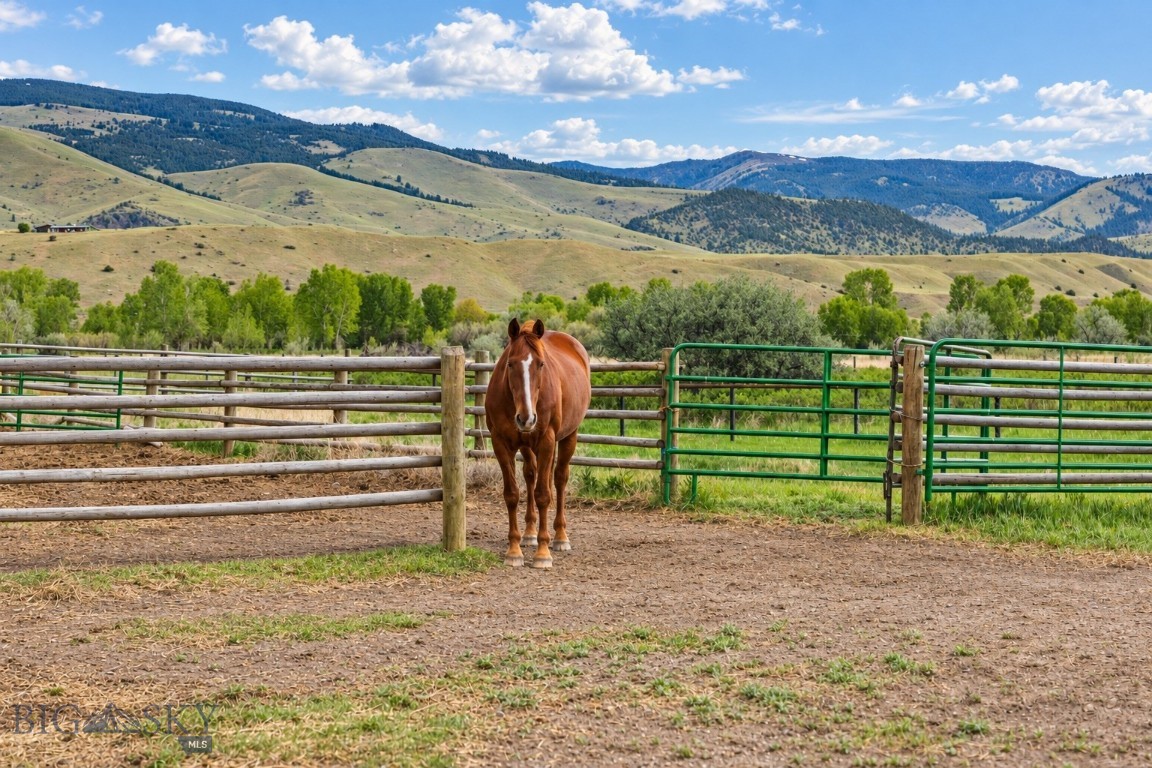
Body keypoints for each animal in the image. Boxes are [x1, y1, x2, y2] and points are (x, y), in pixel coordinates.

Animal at [485, 318, 591, 569]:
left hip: (569, 437)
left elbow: (544, 494)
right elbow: (512, 494)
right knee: (531, 475)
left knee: (560, 478)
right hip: (527, 446)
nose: (526, 418)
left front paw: (543, 553)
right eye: (510, 364)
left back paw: (560, 537)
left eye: (541, 364)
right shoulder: (500, 444)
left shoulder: (547, 442)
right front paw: (514, 550)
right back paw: (530, 534)